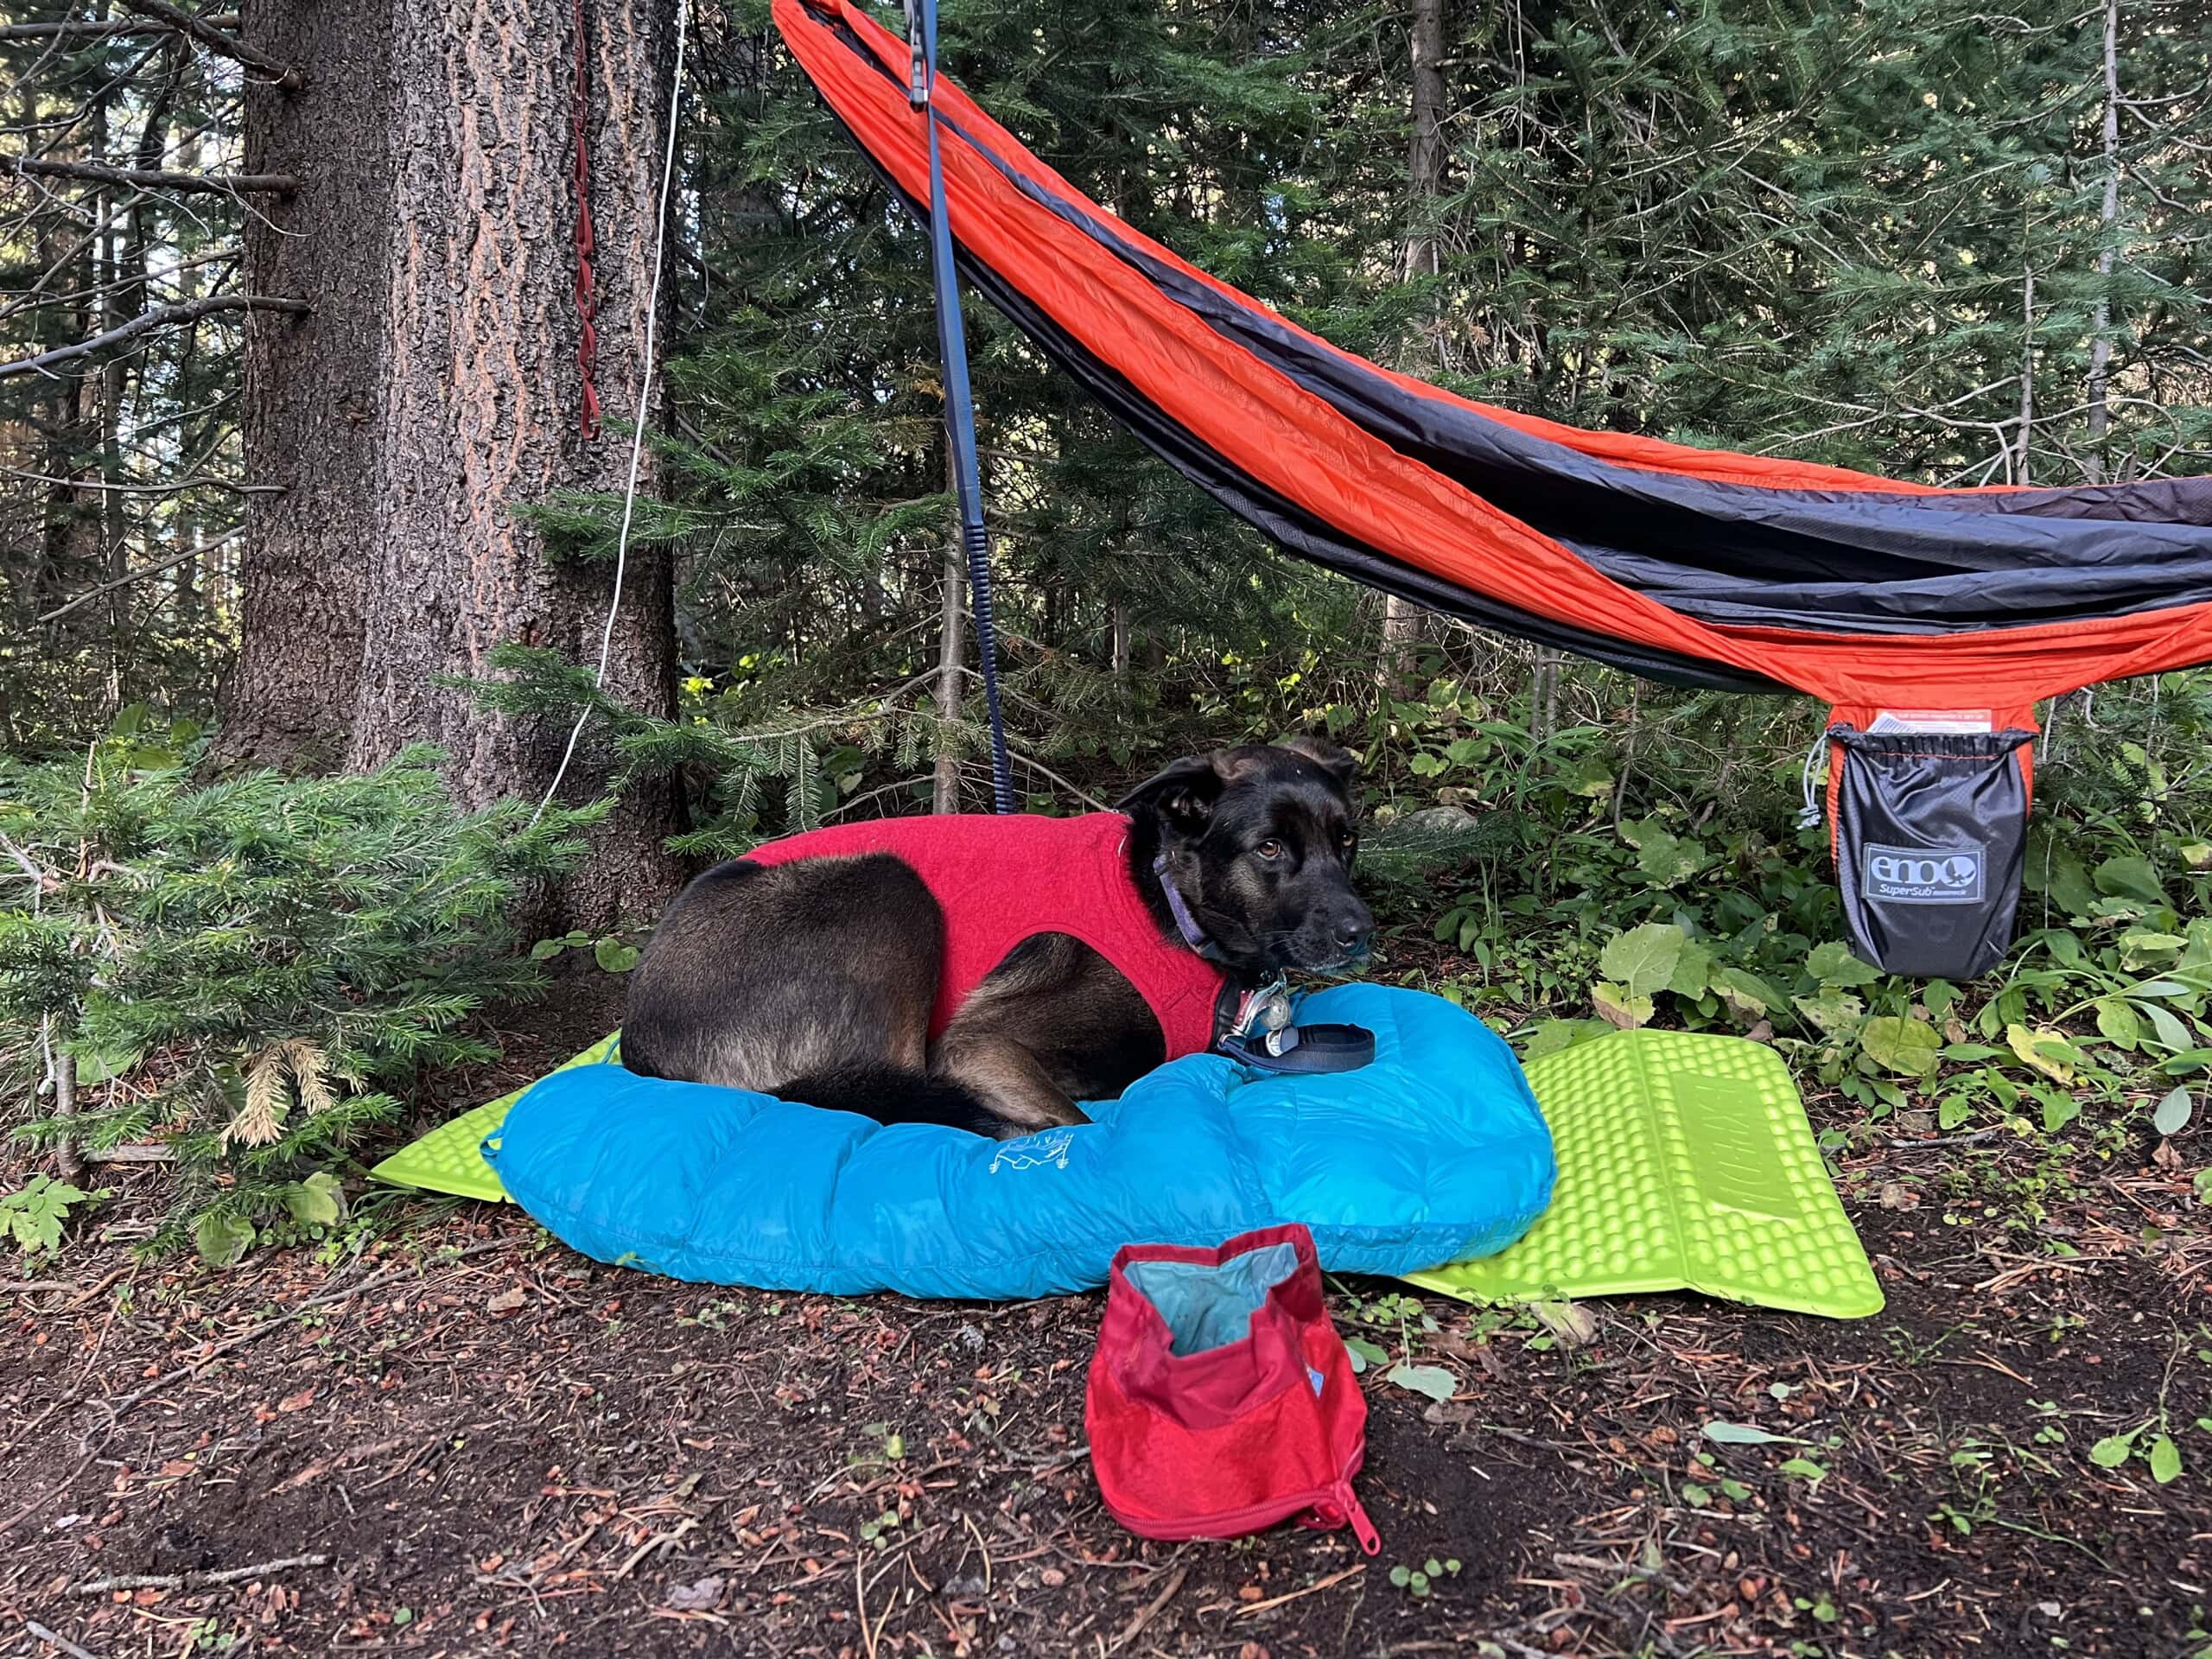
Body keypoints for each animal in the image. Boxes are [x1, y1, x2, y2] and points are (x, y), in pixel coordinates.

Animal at [623, 743, 1371, 1141]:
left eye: (1347, 840)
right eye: (1269, 847)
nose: (1359, 933)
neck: (1168, 906)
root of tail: (639, 1038)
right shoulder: (977, 1046)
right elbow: (1080, 1126)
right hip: (889, 885)